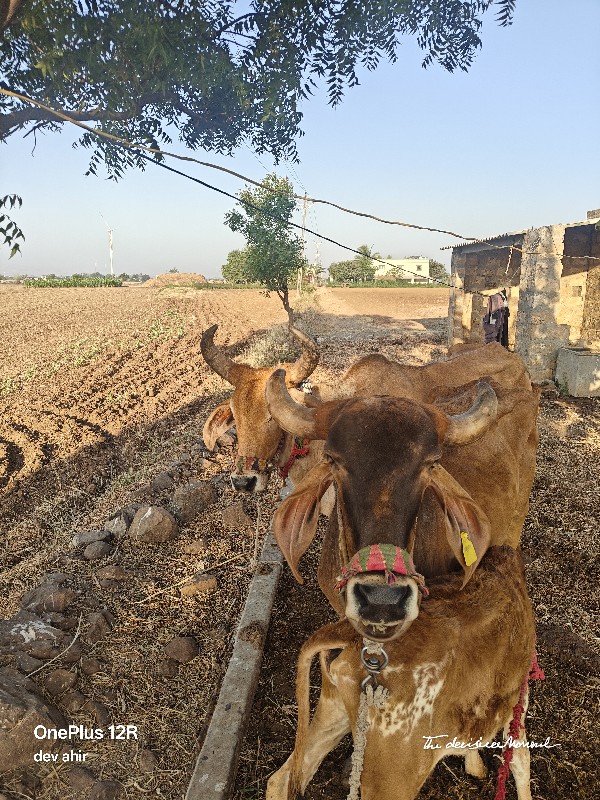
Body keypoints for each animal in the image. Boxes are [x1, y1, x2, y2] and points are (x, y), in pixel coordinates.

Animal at [264, 544, 536, 800]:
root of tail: (349, 634)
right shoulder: (519, 697)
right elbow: (520, 760)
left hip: (333, 710)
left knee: (281, 779)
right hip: (393, 776)